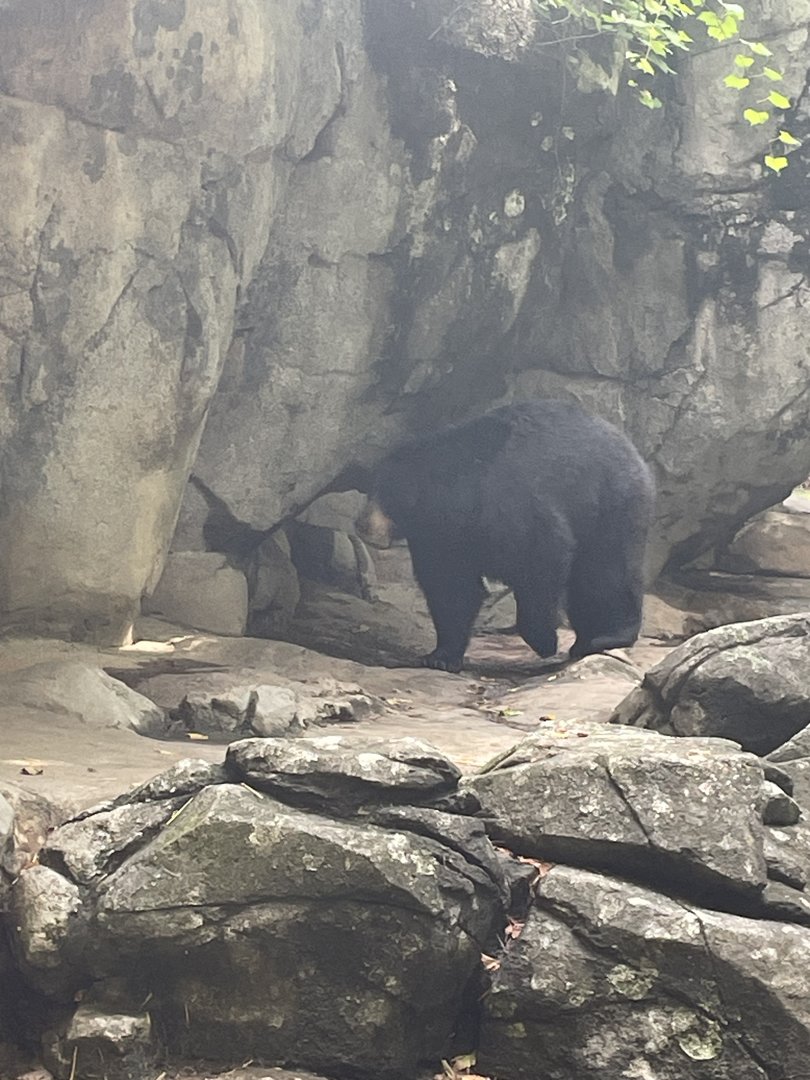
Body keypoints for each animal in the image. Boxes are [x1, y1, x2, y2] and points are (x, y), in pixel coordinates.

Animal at [356, 400, 655, 673]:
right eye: (371, 489)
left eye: (390, 495)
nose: (361, 525)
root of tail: (627, 444)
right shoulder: (440, 537)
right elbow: (450, 586)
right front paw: (439, 656)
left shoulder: (508, 506)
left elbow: (541, 555)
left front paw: (544, 640)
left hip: (609, 501)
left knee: (605, 571)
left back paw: (603, 637)